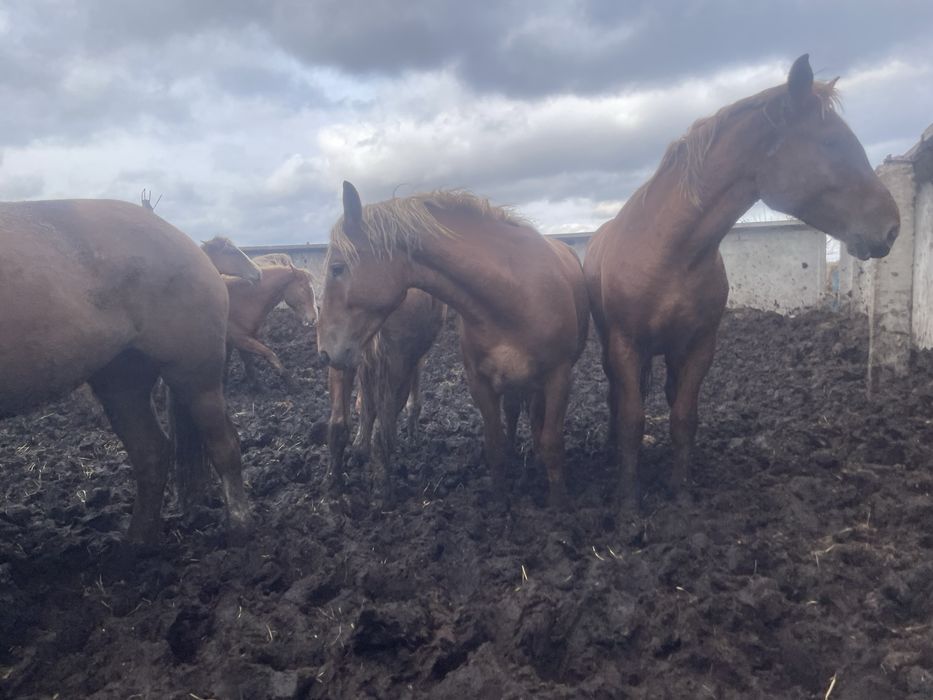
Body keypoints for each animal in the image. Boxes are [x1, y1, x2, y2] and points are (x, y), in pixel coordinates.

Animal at [0, 199, 252, 545]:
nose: (255, 274)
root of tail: (184, 241)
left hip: (195, 377)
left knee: (224, 446)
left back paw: (238, 530)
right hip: (122, 383)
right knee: (152, 453)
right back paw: (136, 545)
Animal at [225, 257, 317, 391]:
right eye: (303, 288)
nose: (314, 318)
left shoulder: (238, 340)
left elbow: (247, 364)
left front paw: (258, 387)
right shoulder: (240, 338)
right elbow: (270, 354)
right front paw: (292, 384)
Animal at [327, 289, 445, 499]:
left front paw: (359, 448)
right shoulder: (417, 355)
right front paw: (413, 435)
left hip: (339, 354)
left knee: (339, 422)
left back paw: (335, 484)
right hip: (397, 368)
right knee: (381, 435)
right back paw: (383, 493)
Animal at [583, 54, 900, 513]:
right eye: (831, 143)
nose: (892, 228)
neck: (669, 252)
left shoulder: (699, 346)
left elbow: (684, 416)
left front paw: (680, 493)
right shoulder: (627, 346)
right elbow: (630, 417)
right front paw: (628, 502)